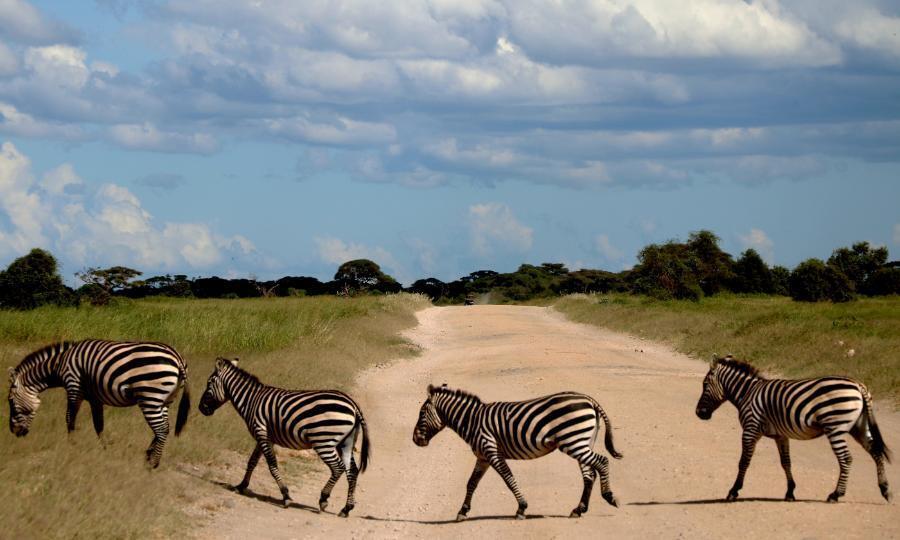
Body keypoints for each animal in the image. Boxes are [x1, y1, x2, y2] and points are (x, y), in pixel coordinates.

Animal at [7, 339, 190, 467]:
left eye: (10, 401)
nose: (14, 432)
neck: (59, 365)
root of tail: (177, 358)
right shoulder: (95, 398)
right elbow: (98, 424)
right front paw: (104, 449)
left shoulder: (73, 387)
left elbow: (69, 418)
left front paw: (71, 445)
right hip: (165, 400)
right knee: (165, 428)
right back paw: (148, 455)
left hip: (150, 396)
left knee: (161, 429)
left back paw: (153, 464)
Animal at [198, 358, 370, 517]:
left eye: (208, 384)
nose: (201, 409)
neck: (251, 400)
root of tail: (353, 405)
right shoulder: (264, 436)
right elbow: (252, 461)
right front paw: (241, 486)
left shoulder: (261, 432)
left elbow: (272, 465)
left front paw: (286, 495)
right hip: (345, 443)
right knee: (352, 471)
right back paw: (346, 508)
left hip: (323, 441)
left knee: (338, 468)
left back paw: (323, 499)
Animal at [413, 384, 623, 520]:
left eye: (421, 414)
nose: (415, 440)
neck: (472, 421)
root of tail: (589, 399)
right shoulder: (483, 457)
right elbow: (471, 483)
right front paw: (463, 511)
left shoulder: (492, 451)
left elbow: (508, 478)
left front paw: (522, 508)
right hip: (581, 441)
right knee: (589, 474)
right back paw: (579, 509)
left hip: (574, 442)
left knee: (602, 462)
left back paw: (609, 496)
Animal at [696, 355, 892, 503]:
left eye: (705, 384)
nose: (698, 413)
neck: (748, 393)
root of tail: (859, 385)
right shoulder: (781, 436)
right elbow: (786, 462)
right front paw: (790, 492)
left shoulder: (750, 430)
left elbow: (744, 461)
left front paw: (733, 491)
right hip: (859, 426)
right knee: (876, 451)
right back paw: (885, 490)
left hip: (835, 427)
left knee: (846, 458)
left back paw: (836, 494)